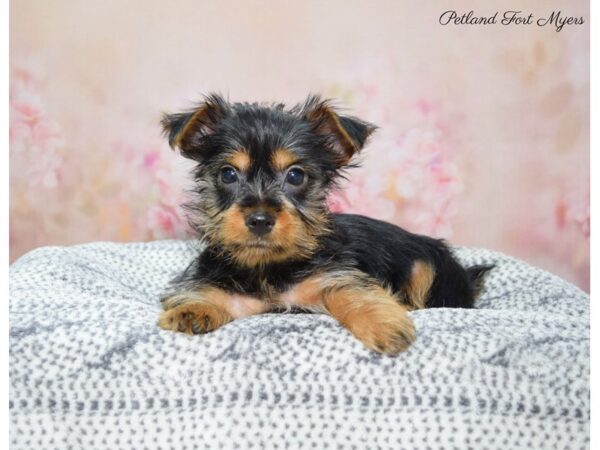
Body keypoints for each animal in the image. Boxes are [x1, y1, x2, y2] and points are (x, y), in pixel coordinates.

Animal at [157, 94, 490, 356]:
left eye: (295, 176)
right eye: (228, 174)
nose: (260, 219)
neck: (267, 266)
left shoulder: (334, 275)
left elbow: (351, 292)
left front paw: (383, 324)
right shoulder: (236, 295)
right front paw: (191, 310)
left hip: (429, 266)